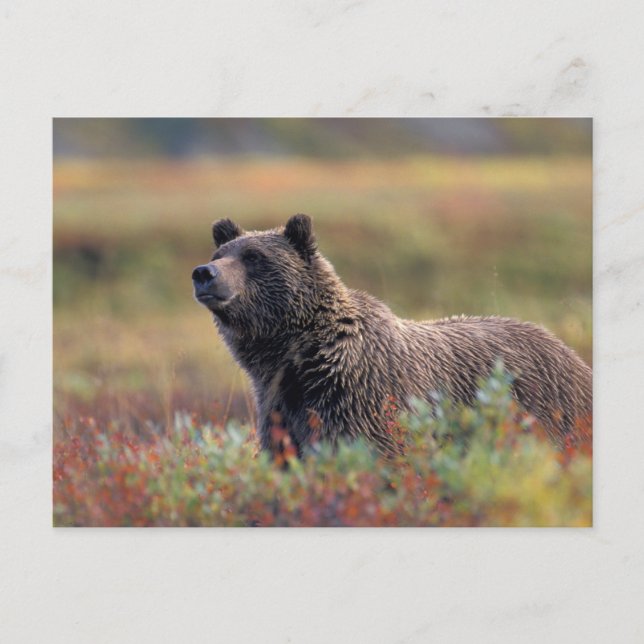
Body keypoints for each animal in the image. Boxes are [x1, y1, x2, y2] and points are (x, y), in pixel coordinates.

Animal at [192, 214, 592, 456]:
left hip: (546, 412)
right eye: (220, 251)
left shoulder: (361, 400)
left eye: (254, 256)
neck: (299, 355)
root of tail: (570, 351)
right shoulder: (281, 407)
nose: (204, 273)